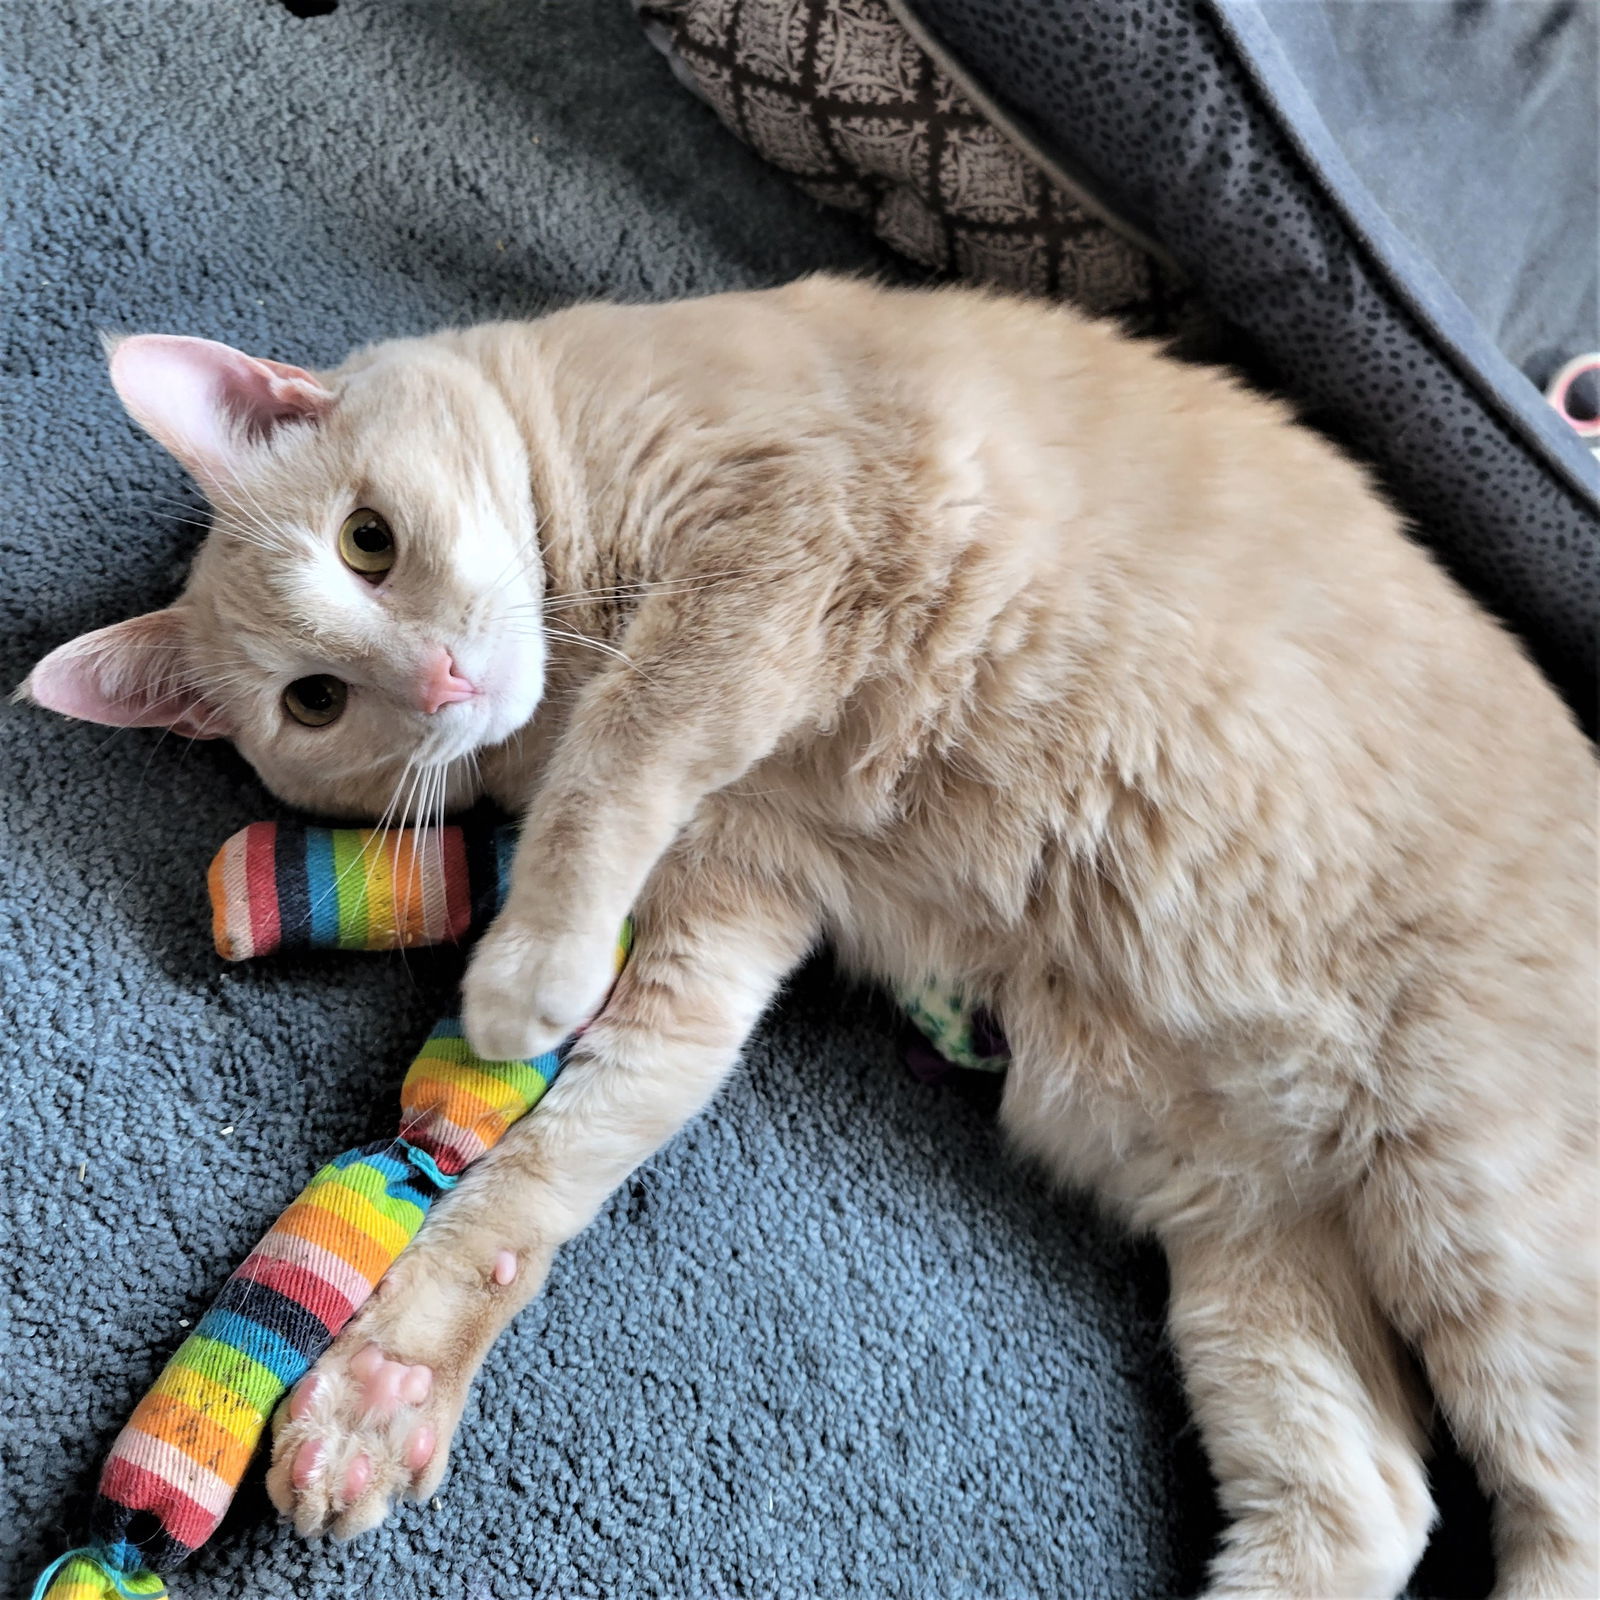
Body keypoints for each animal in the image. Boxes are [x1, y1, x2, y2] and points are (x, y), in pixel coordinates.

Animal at [25, 281, 1600, 1593]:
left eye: (369, 541)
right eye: (314, 702)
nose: (444, 681)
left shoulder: (785, 535)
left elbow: (624, 755)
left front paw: (521, 970)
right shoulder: (717, 922)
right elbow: (537, 1176)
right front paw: (388, 1381)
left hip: (1480, 1227)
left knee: (1560, 1515)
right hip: (1259, 1270)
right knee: (1367, 1507)